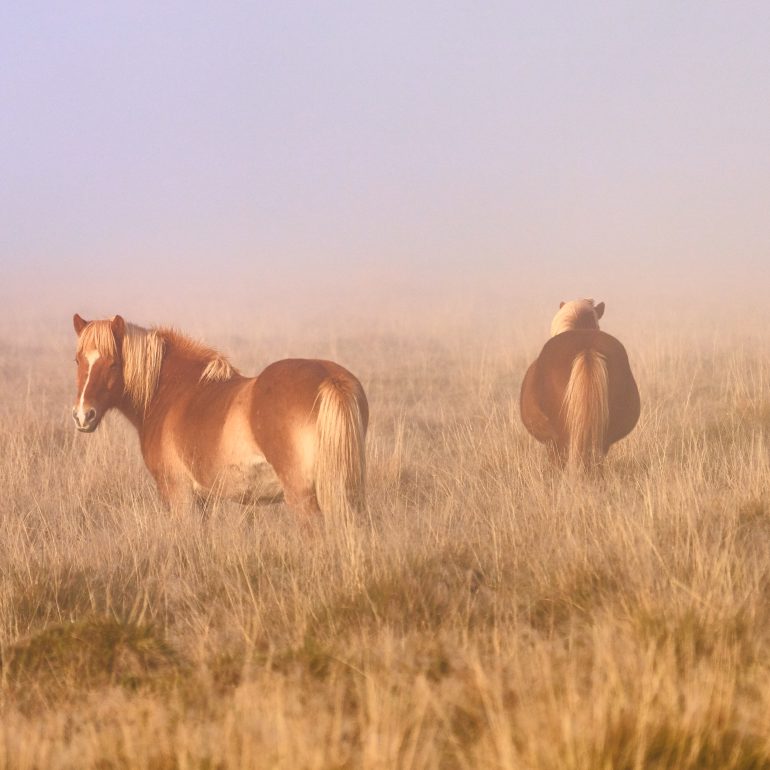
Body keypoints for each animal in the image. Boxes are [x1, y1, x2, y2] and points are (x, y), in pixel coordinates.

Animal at [71, 314, 368, 514]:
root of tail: (330, 379)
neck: (173, 391)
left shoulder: (179, 495)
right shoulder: (203, 500)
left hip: (302, 498)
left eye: (113, 363)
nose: (83, 416)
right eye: (78, 360)